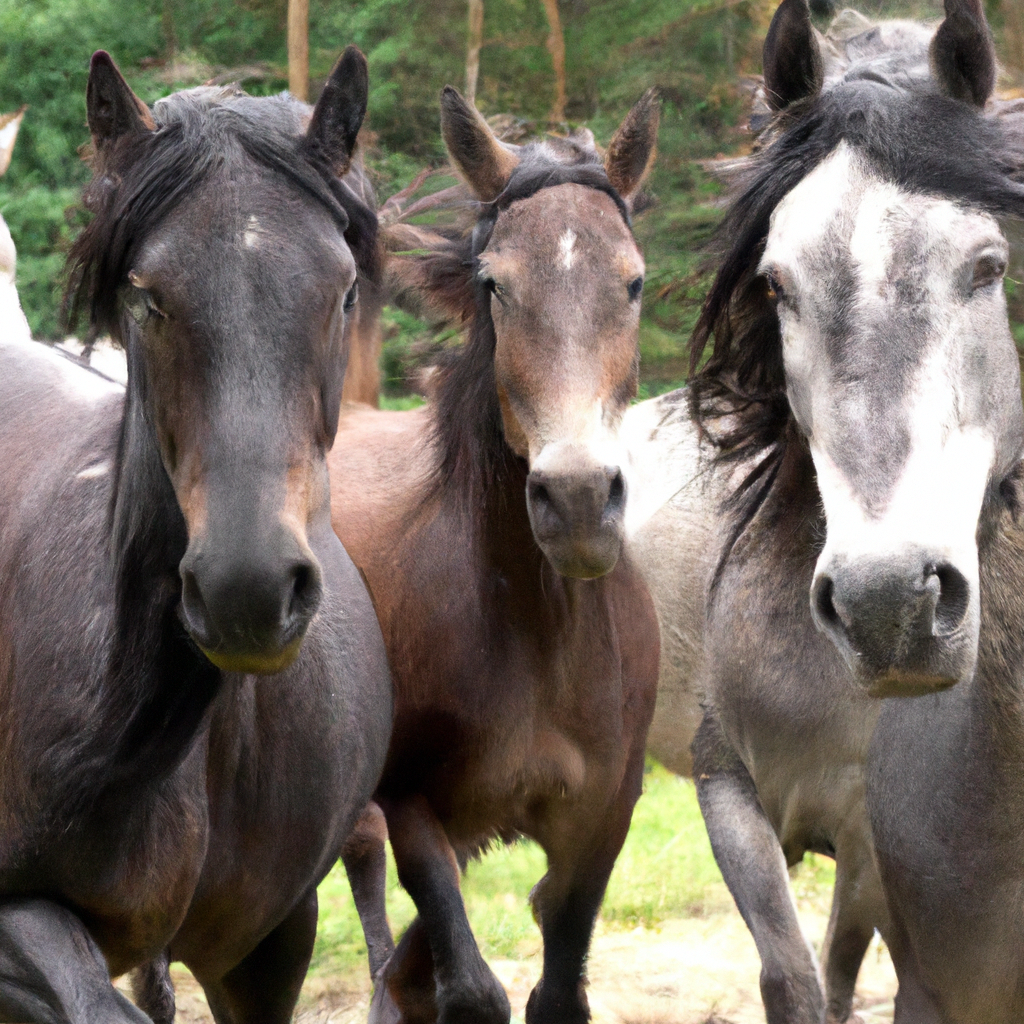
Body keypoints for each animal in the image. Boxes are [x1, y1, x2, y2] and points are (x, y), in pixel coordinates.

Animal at [329, 90, 663, 1024]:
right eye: (494, 284)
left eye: (633, 281)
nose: (578, 500)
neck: (538, 633)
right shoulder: (411, 802)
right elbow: (469, 988)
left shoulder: (601, 821)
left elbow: (555, 984)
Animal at [618, 2, 1024, 1024]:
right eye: (775, 283)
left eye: (986, 266)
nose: (889, 605)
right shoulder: (728, 794)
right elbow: (795, 982)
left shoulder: (869, 854)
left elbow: (838, 976)